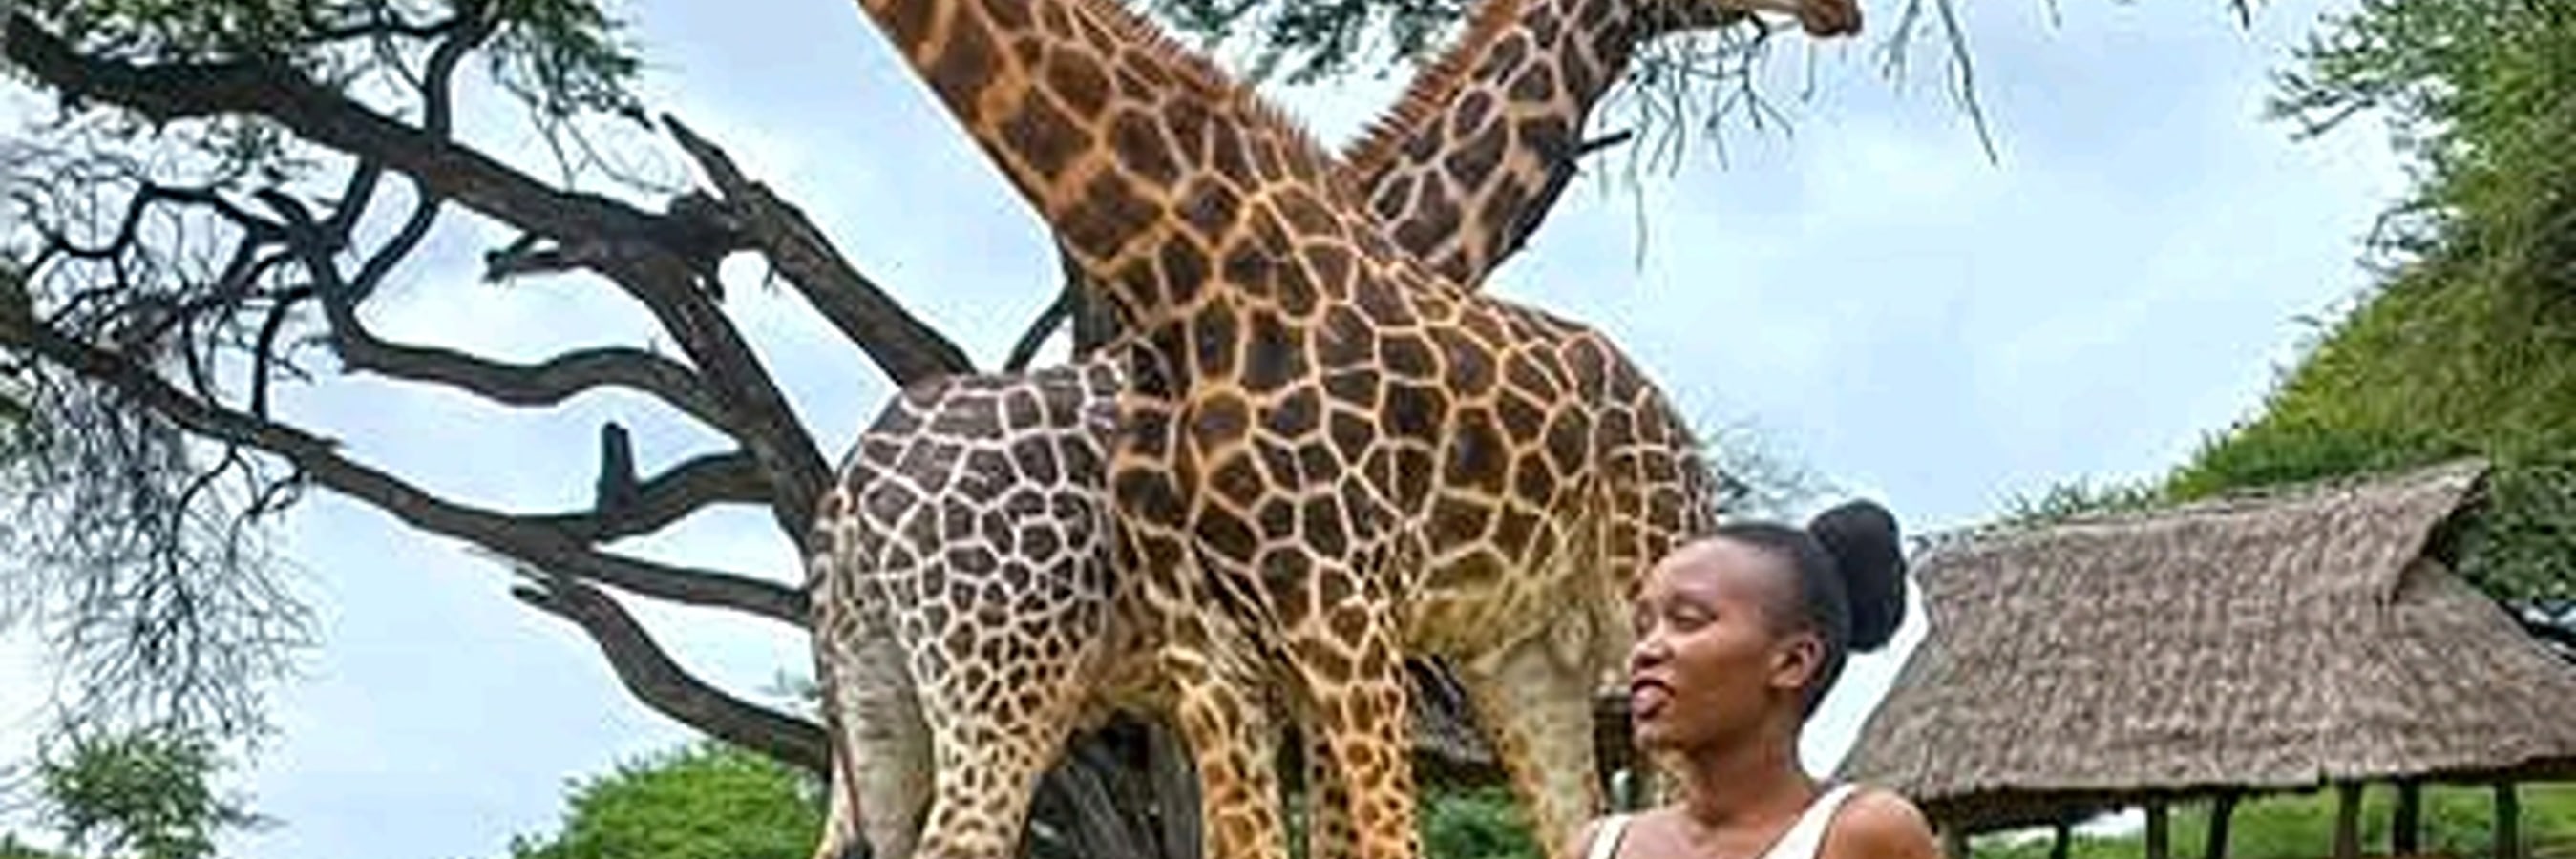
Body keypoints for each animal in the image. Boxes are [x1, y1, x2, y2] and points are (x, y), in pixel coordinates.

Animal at [800, 0, 1861, 853]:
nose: (1838, 11)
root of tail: (850, 498)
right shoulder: (1313, 651)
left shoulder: (1284, 667)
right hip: (1003, 681)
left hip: (879, 702)